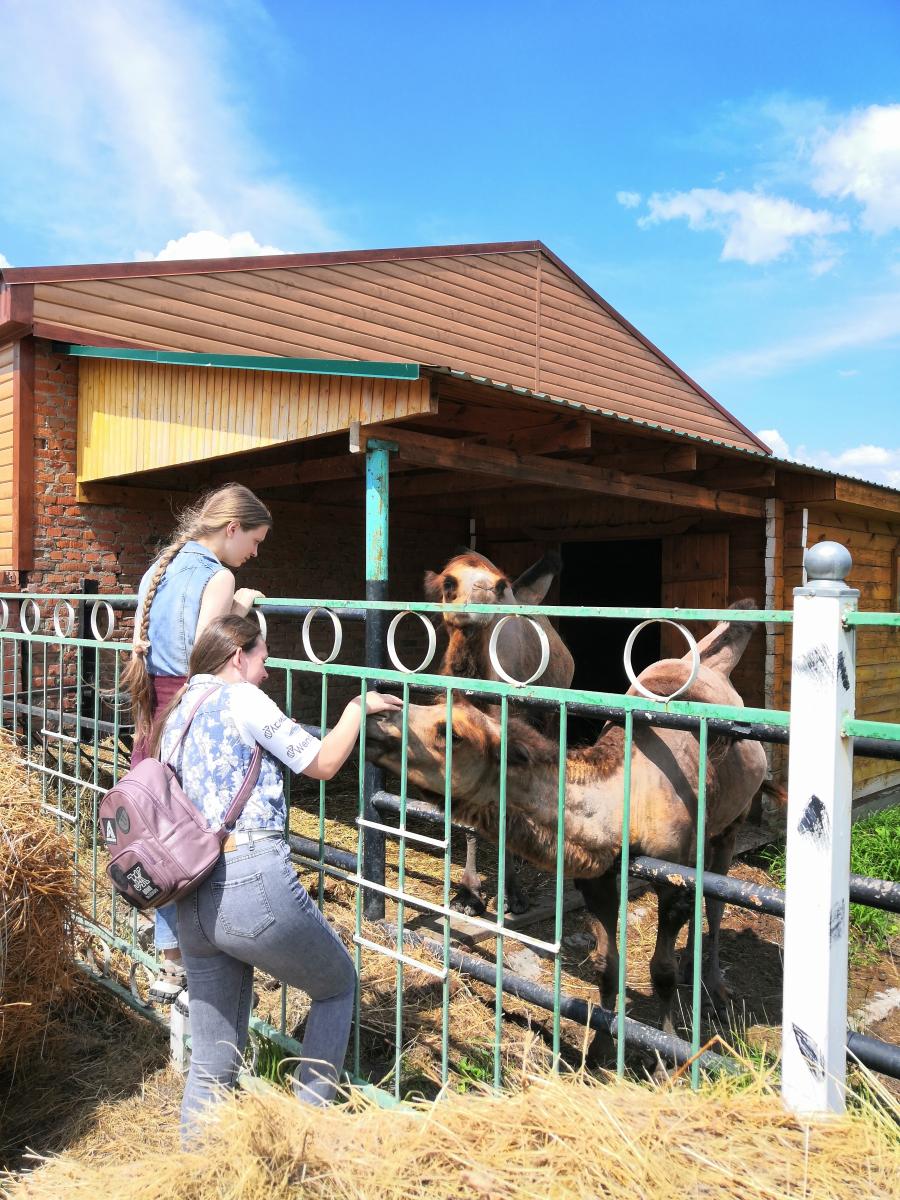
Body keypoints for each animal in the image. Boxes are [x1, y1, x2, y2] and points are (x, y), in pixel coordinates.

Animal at [367, 604, 768, 1046]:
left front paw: (666, 1049)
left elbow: (660, 970)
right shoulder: (598, 876)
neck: (632, 796)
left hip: (732, 823)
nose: (376, 719)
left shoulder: (673, 874)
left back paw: (714, 988)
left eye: (451, 733)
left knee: (716, 901)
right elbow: (606, 965)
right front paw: (600, 1046)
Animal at [424, 549, 578, 912]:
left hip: (551, 718)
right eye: (449, 583)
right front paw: (467, 895)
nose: (481, 593)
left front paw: (512, 896)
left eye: (498, 586)